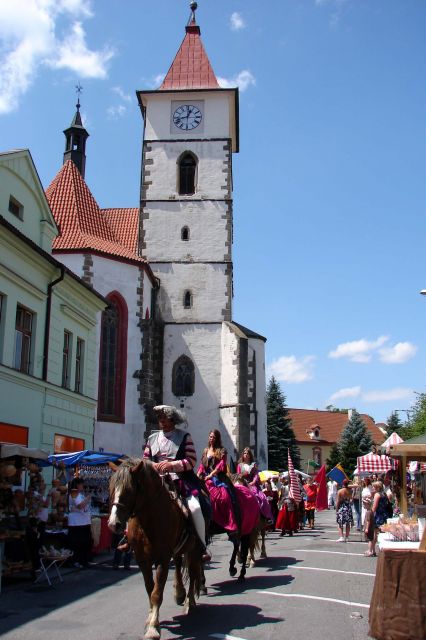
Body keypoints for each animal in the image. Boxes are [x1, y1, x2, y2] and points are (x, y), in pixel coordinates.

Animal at [109, 458, 204, 640]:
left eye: (129, 490)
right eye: (111, 488)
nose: (113, 524)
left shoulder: (162, 559)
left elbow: (156, 592)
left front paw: (153, 627)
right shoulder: (142, 559)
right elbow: (149, 588)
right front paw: (150, 619)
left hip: (194, 549)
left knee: (193, 572)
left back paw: (189, 602)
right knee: (180, 564)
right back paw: (179, 594)